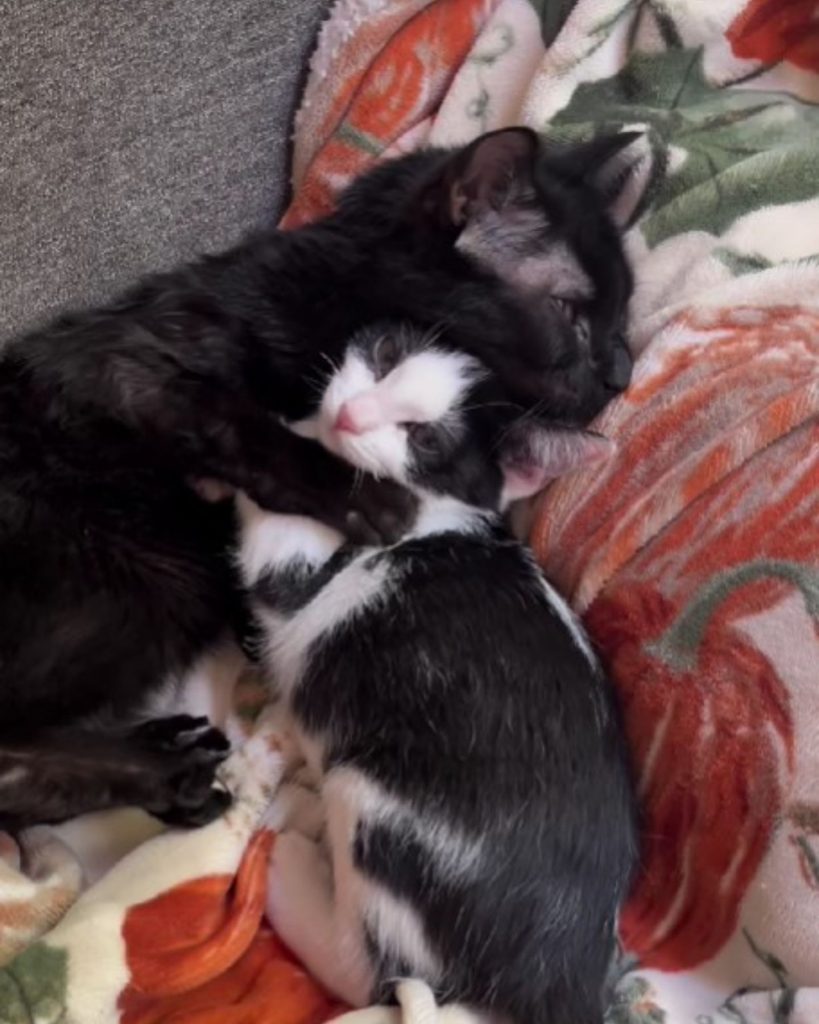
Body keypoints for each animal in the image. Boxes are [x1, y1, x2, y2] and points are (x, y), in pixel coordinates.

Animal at [0, 128, 638, 831]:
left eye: (621, 313)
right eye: (569, 312)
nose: (622, 372)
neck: (335, 300)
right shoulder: (129, 366)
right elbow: (237, 419)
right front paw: (365, 496)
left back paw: (164, 766)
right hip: (140, 578)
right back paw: (163, 772)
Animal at [239, 325, 634, 1024]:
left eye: (424, 441)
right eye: (386, 356)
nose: (350, 415)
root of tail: (562, 979)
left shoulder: (304, 575)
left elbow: (272, 538)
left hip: (373, 799)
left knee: (373, 973)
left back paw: (290, 868)